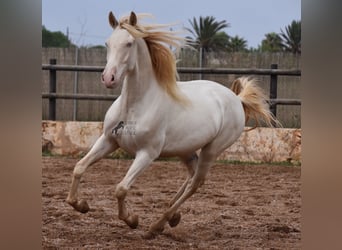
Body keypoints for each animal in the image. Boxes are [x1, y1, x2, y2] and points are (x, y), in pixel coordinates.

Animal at [66, 11, 278, 238]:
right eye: (107, 43)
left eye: (129, 43)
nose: (108, 78)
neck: (135, 106)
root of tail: (236, 99)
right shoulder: (108, 140)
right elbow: (79, 167)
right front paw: (81, 205)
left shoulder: (147, 153)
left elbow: (121, 188)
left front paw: (132, 219)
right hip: (186, 150)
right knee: (191, 177)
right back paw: (172, 216)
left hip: (212, 149)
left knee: (196, 183)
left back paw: (158, 225)